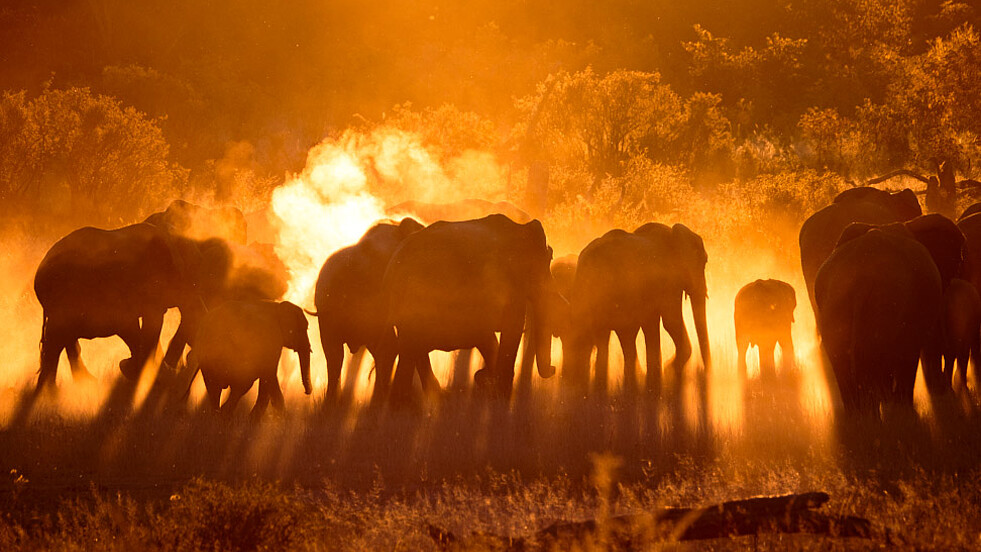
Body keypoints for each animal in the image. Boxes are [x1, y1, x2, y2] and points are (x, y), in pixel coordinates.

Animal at [556, 223, 708, 396]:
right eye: (704, 262)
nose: (702, 371)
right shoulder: (669, 280)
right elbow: (671, 322)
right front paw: (668, 369)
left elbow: (652, 324)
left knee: (612, 338)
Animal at [812, 216, 964, 414]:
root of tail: (861, 278)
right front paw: (901, 407)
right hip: (886, 302)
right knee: (874, 355)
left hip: (836, 301)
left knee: (841, 356)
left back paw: (861, 415)